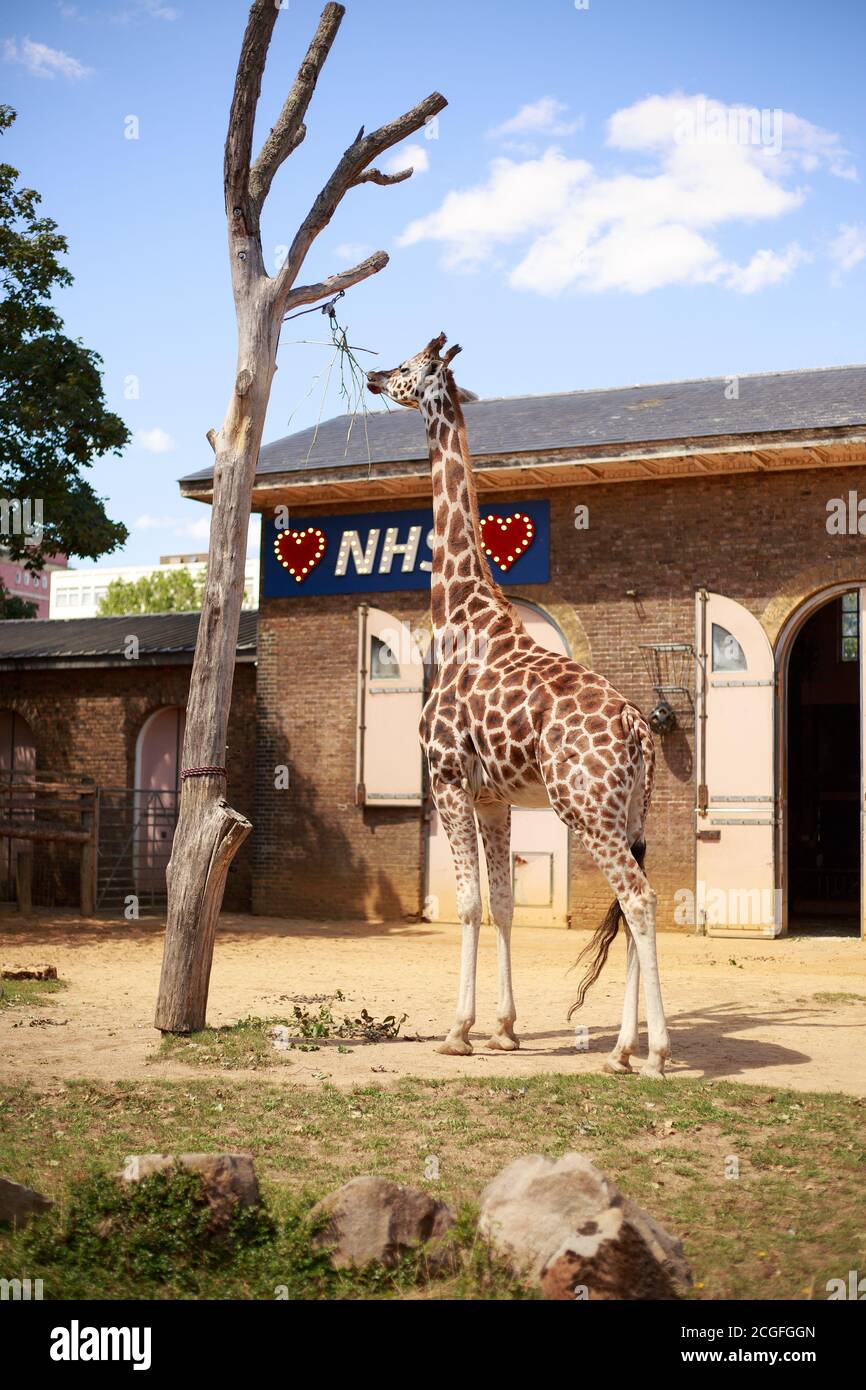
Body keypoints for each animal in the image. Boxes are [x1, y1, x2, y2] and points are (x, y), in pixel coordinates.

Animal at [366, 334, 670, 1077]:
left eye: (409, 367)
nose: (372, 375)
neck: (461, 616)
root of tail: (637, 727)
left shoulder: (448, 777)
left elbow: (469, 903)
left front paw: (458, 1031)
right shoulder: (493, 796)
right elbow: (503, 904)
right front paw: (504, 1029)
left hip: (585, 808)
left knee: (640, 898)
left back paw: (655, 1052)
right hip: (629, 813)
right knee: (629, 907)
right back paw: (620, 1051)